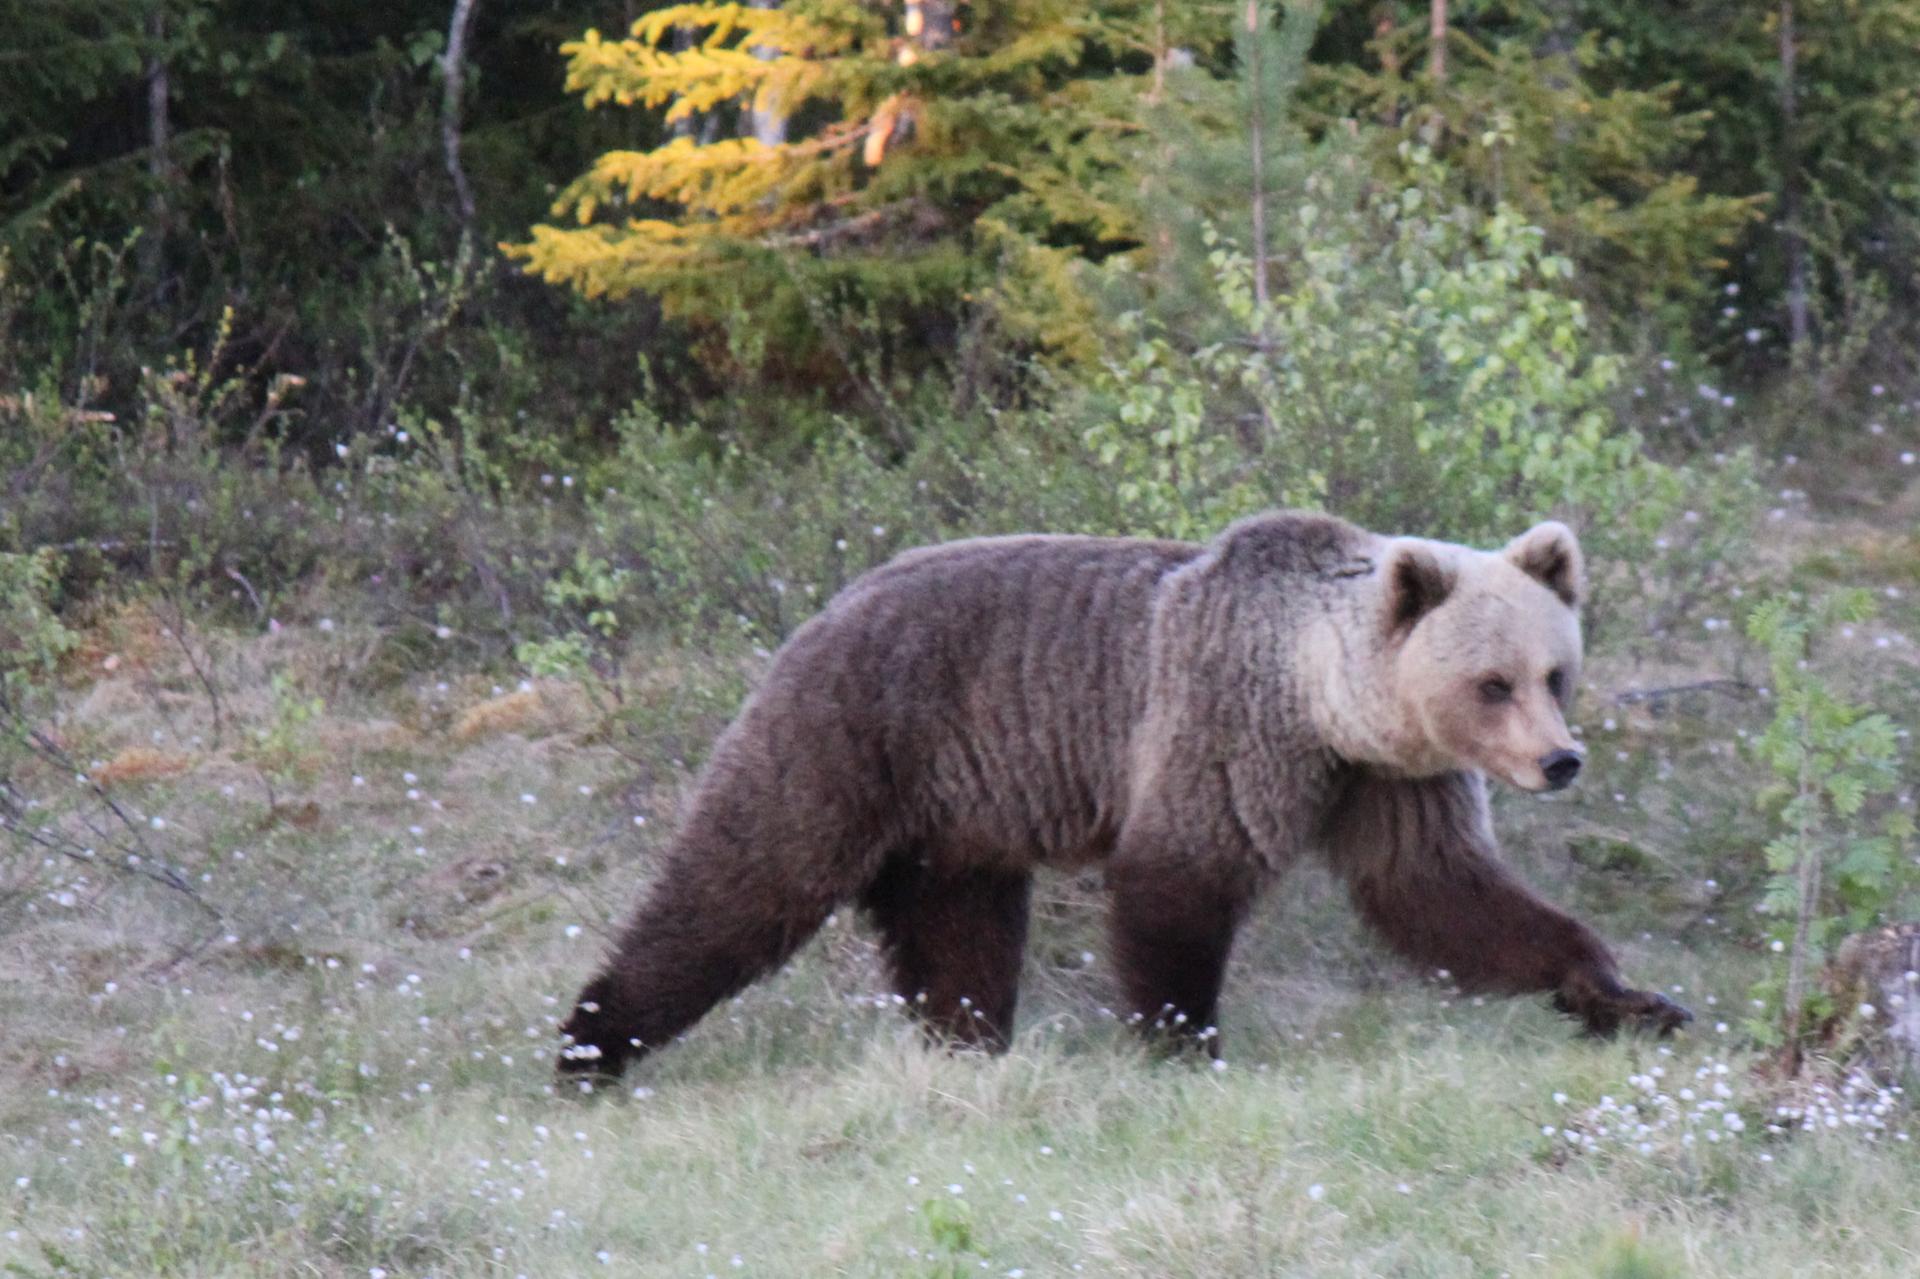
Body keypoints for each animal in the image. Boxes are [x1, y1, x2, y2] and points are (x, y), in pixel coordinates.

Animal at [557, 510, 1691, 1077]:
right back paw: (594, 1038)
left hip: (962, 813)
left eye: (1554, 671)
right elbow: (1177, 882)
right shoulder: (1224, 727)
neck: (1327, 703)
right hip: (854, 734)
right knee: (746, 877)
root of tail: (820, 608)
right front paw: (1185, 1042)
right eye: (1492, 681)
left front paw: (1629, 996)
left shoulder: (1388, 782)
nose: (1560, 759)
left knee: (961, 931)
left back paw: (969, 1043)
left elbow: (1447, 893)